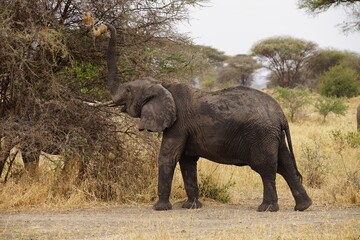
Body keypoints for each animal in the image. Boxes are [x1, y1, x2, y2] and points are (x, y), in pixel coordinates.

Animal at [99, 23, 312, 212]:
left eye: (128, 90)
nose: (102, 27)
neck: (162, 84)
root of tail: (281, 115)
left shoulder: (178, 125)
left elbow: (168, 157)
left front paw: (159, 208)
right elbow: (187, 162)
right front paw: (191, 207)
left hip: (261, 133)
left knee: (266, 167)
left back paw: (267, 209)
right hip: (273, 134)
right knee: (286, 165)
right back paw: (303, 206)